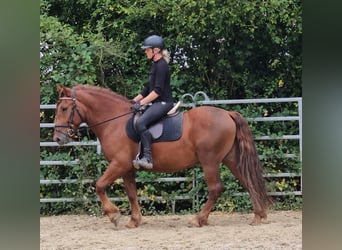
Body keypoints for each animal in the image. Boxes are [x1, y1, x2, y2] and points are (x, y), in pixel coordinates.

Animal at [52, 84, 270, 229]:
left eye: (64, 109)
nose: (58, 138)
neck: (114, 121)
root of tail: (227, 114)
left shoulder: (118, 164)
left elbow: (99, 186)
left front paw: (114, 215)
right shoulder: (128, 168)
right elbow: (131, 193)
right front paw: (134, 220)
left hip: (210, 161)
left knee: (216, 188)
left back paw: (198, 219)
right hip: (230, 158)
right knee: (247, 181)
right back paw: (258, 215)